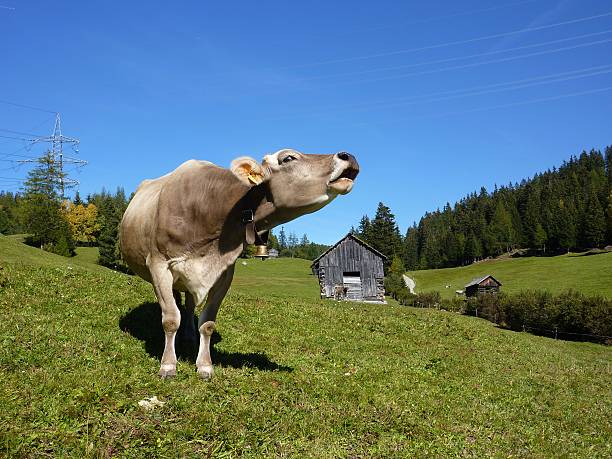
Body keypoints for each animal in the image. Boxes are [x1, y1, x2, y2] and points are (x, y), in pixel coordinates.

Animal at [119, 149, 358, 380]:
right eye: (288, 158)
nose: (348, 155)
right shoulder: (159, 264)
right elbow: (170, 318)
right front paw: (168, 365)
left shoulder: (224, 273)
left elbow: (207, 323)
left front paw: (205, 366)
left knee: (188, 305)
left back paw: (189, 335)